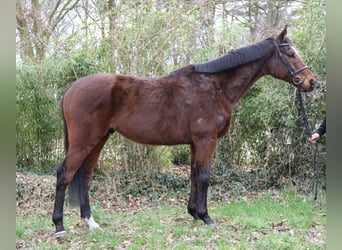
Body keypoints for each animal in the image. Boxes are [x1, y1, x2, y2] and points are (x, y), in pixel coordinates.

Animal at [52, 26, 316, 237]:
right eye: (290, 54)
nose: (311, 81)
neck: (215, 87)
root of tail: (71, 89)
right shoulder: (206, 140)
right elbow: (204, 177)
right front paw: (206, 217)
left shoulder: (194, 143)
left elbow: (193, 175)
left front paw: (194, 214)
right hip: (84, 142)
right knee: (65, 175)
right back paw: (59, 226)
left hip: (98, 141)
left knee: (85, 177)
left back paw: (91, 222)